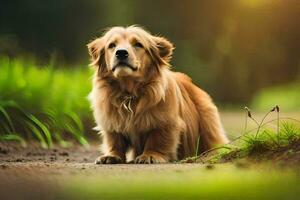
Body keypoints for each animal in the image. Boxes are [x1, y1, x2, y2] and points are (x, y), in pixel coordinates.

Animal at [88, 25, 229, 163]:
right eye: (112, 45)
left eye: (138, 44)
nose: (121, 53)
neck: (130, 93)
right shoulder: (111, 124)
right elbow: (115, 141)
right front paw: (112, 156)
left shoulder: (165, 123)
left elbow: (157, 140)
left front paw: (151, 155)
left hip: (207, 120)